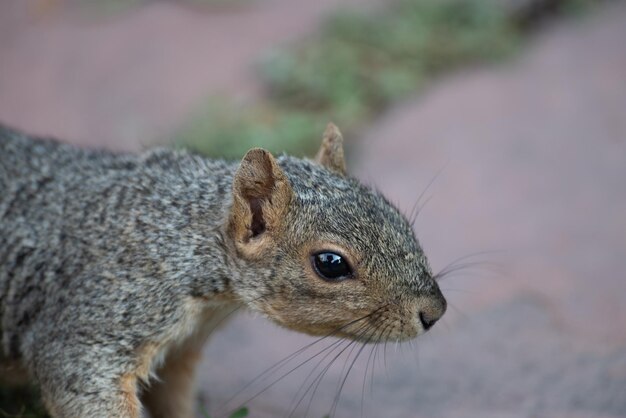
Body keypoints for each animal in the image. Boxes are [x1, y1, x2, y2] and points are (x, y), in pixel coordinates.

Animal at [2, 123, 446, 418]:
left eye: (397, 217)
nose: (434, 312)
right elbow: (80, 379)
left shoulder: (182, 351)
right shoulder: (98, 317)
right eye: (330, 264)